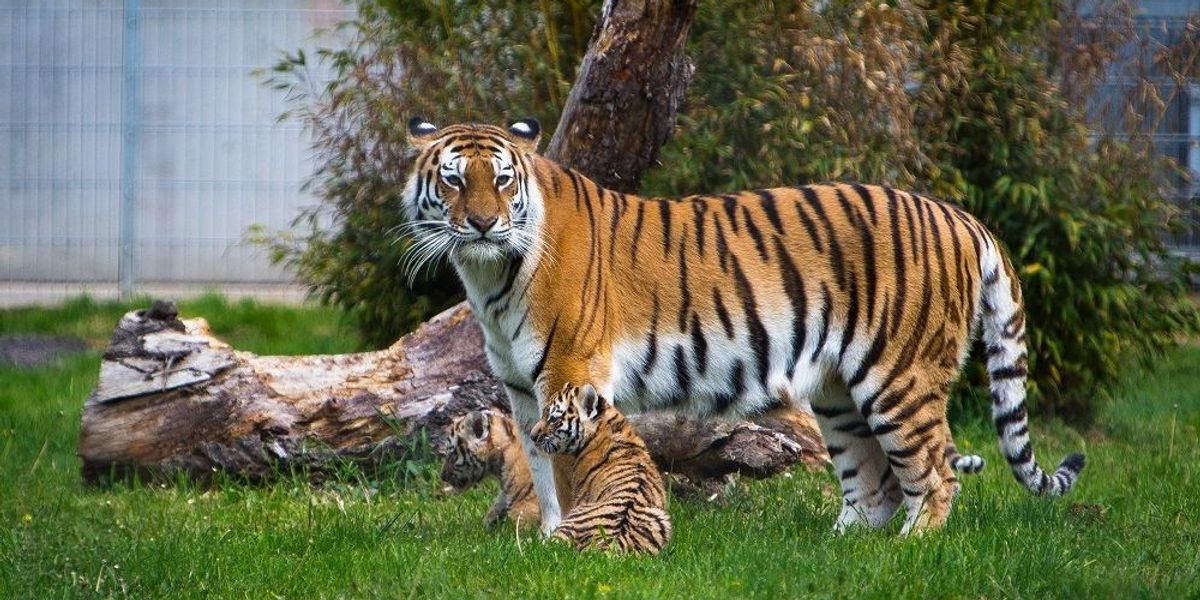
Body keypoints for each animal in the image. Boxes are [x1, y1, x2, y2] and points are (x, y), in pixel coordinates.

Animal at [401, 117, 1085, 536]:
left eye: (502, 179)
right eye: (454, 180)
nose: (484, 223)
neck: (488, 275)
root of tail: (961, 216)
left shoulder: (571, 375)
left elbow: (568, 468)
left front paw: (568, 540)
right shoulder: (523, 388)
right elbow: (540, 471)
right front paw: (546, 538)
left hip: (900, 378)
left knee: (935, 475)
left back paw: (911, 548)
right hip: (838, 394)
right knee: (875, 486)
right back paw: (841, 547)